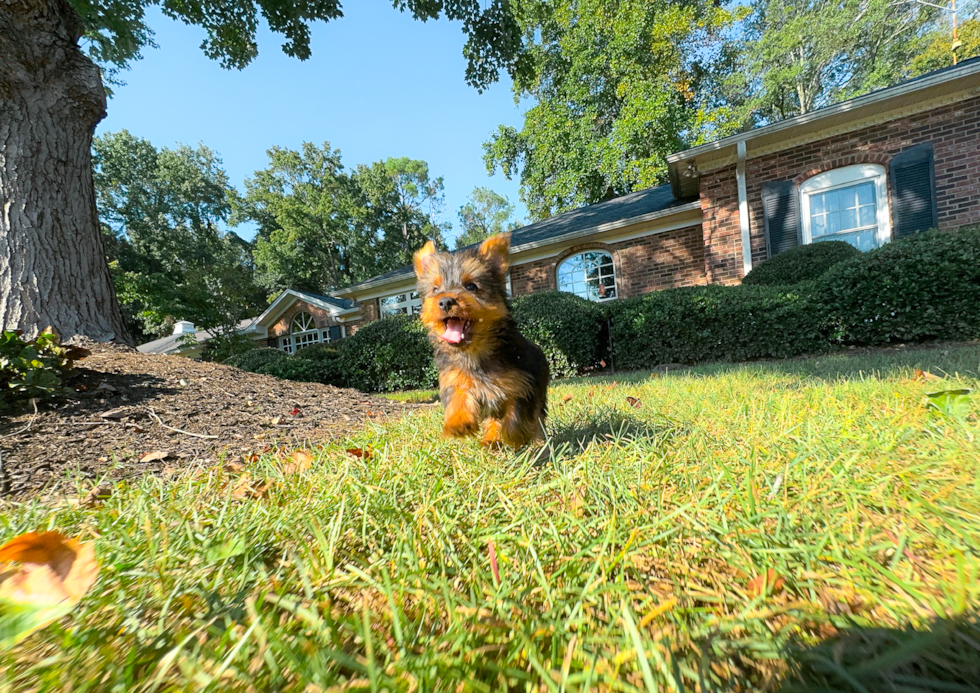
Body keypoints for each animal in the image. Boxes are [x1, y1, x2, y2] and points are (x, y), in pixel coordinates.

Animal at [414, 232, 552, 448]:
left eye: (471, 286)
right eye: (435, 289)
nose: (445, 301)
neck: (473, 352)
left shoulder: (522, 384)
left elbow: (517, 414)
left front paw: (515, 436)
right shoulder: (455, 379)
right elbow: (459, 397)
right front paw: (457, 422)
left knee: (536, 418)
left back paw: (537, 441)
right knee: (493, 419)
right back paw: (491, 438)